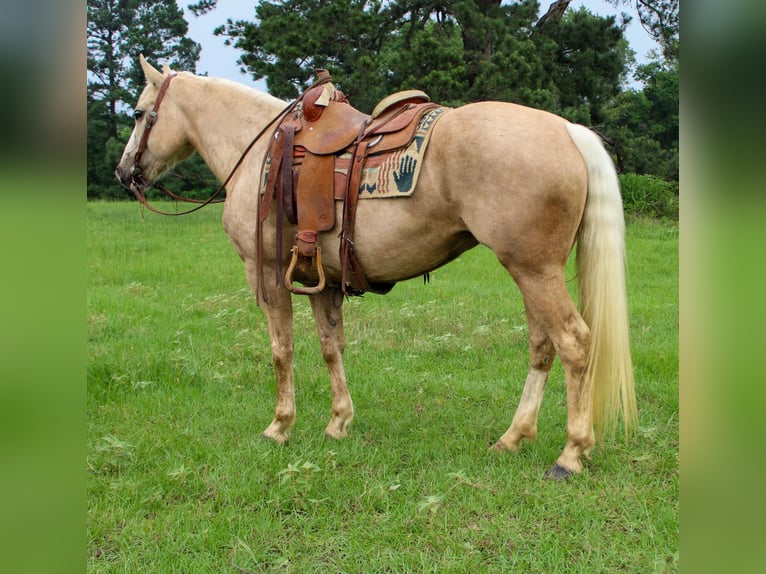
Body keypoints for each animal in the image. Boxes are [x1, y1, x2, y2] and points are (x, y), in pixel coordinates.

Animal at [114, 57, 640, 482]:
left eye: (139, 113)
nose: (123, 172)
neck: (260, 150)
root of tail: (567, 129)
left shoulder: (265, 273)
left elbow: (282, 350)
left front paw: (280, 426)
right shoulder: (320, 280)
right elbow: (331, 348)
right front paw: (338, 422)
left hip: (535, 271)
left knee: (574, 343)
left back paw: (570, 455)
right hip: (531, 271)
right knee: (542, 346)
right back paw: (513, 438)